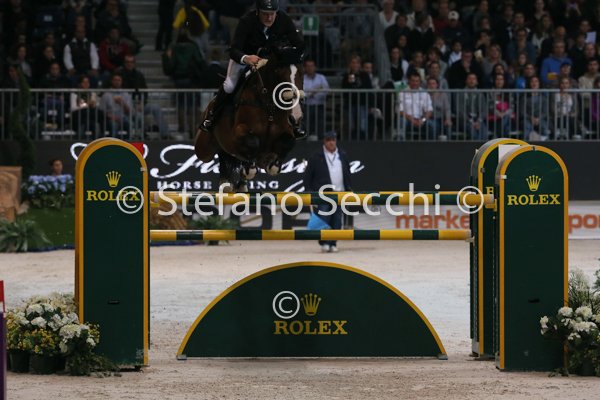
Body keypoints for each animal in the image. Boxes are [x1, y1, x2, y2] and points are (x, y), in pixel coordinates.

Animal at [194, 46, 305, 191]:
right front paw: (249, 169)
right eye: (279, 71)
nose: (295, 117)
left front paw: (273, 165)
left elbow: (288, 142)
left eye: (302, 73)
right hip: (203, 149)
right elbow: (252, 142)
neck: (268, 105)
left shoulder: (286, 131)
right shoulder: (239, 131)